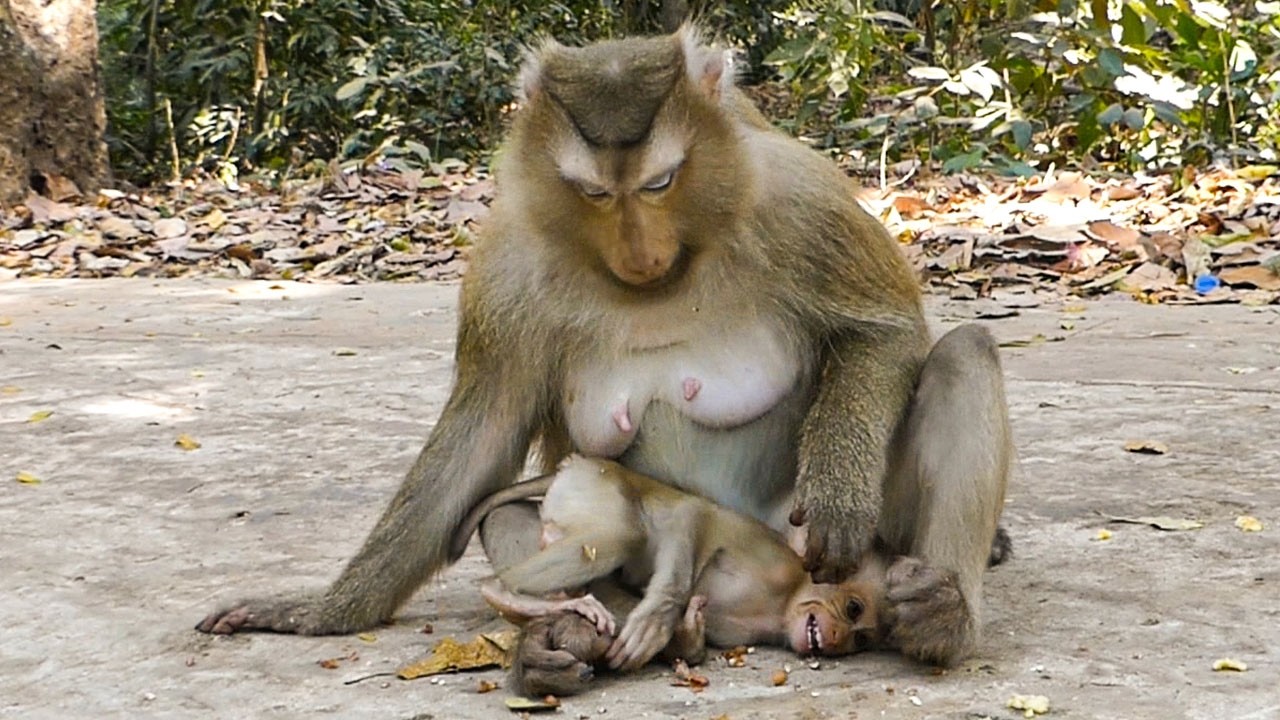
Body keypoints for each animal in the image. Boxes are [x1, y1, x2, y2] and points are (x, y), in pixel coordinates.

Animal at [453, 455, 888, 687]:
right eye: (852, 609)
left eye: (861, 639)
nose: (837, 637)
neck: (782, 604)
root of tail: (584, 461)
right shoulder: (771, 561)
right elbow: (692, 514)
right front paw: (659, 620)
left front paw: (688, 640)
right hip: (595, 488)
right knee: (624, 535)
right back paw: (502, 591)